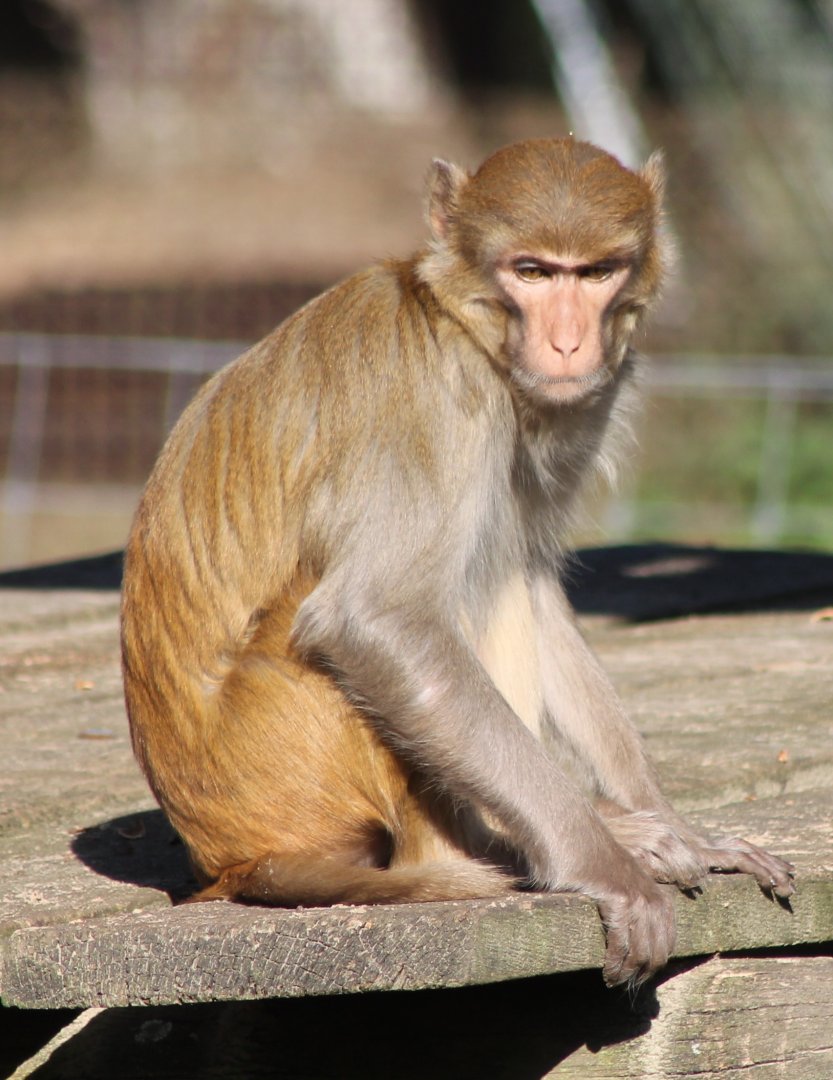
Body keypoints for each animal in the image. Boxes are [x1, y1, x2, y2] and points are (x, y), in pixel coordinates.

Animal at [121, 137, 794, 987]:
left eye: (595, 272)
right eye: (531, 272)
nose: (568, 345)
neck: (463, 323)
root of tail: (229, 858)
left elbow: (531, 580)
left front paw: (666, 823)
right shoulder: (437, 401)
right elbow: (376, 617)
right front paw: (603, 863)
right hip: (285, 753)